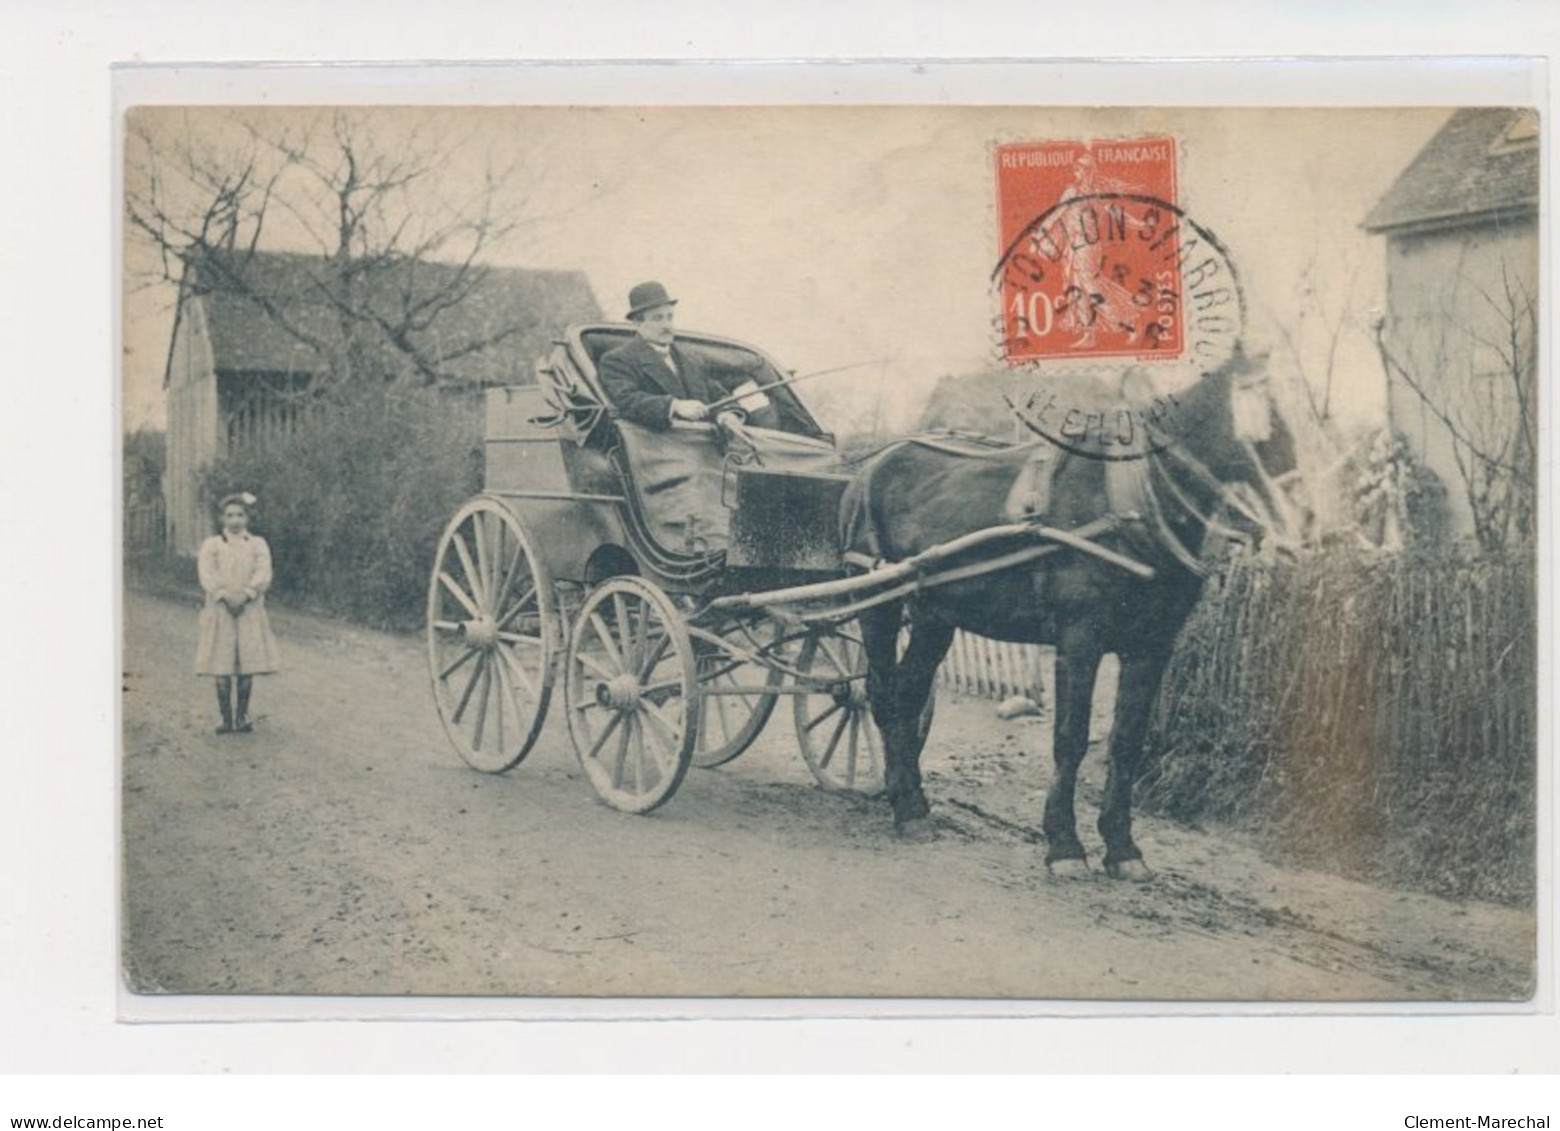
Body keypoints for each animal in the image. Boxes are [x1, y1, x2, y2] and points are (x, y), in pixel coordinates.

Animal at [836, 347, 1297, 879]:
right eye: (1260, 426)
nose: (1297, 518)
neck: (1132, 507)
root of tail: (871, 466)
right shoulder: (1079, 640)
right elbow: (1070, 737)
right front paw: (1064, 845)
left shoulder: (1151, 648)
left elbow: (1126, 742)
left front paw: (1123, 848)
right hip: (879, 602)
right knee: (881, 693)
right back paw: (905, 805)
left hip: (936, 613)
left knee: (908, 694)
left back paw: (911, 800)